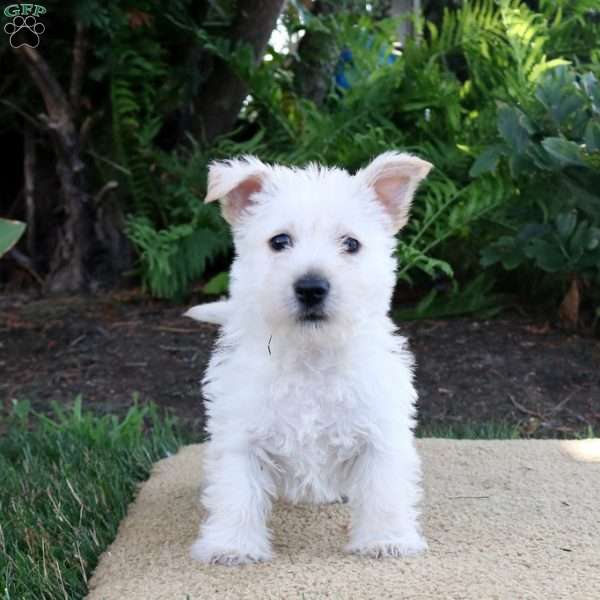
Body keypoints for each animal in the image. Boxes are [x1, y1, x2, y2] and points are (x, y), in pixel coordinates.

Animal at [188, 152, 432, 564]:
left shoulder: (379, 431)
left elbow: (383, 489)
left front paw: (385, 539)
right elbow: (237, 491)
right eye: (279, 241)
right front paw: (232, 545)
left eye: (351, 243)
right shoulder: (241, 431)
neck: (311, 355)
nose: (312, 287)